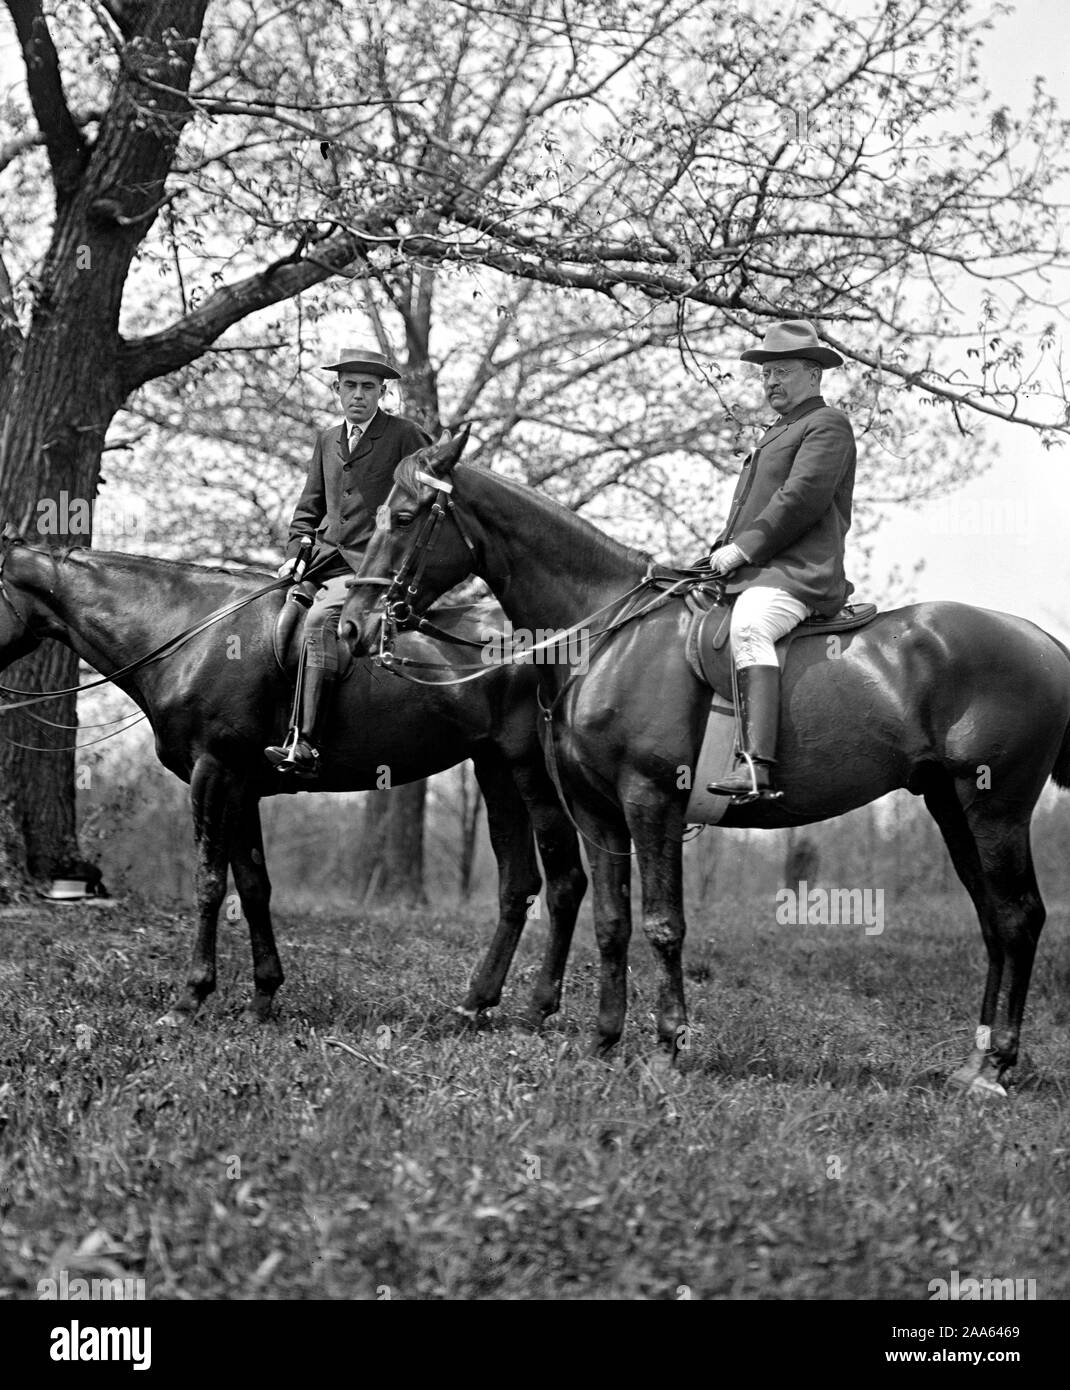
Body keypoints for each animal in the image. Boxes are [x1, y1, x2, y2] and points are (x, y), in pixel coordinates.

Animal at [0, 536, 583, 1028]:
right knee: (518, 885)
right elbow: (254, 887)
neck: (188, 632)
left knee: (565, 881)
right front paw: (262, 997)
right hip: (496, 770)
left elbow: (209, 882)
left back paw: (538, 1009)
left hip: (531, 771)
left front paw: (190, 998)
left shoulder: (213, 775)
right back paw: (476, 1003)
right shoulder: (240, 787)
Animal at [339, 433, 1067, 1095]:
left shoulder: (650, 800)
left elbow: (664, 925)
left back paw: (997, 1065)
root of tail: (1043, 642)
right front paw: (602, 1041)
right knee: (991, 920)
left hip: (996, 809)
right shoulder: (597, 812)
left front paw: (666, 1047)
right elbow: (612, 923)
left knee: (1018, 917)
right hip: (951, 805)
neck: (606, 634)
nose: (352, 625)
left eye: (403, 516)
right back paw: (975, 1060)